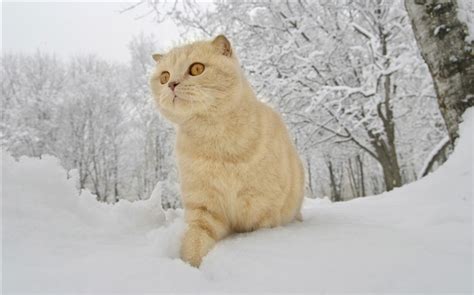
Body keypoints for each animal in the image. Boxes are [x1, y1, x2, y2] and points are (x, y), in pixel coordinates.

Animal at [150, 34, 306, 268]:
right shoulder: (204, 210)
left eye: (196, 69)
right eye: (164, 76)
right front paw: (188, 268)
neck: (216, 140)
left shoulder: (264, 211)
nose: (171, 84)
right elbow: (193, 243)